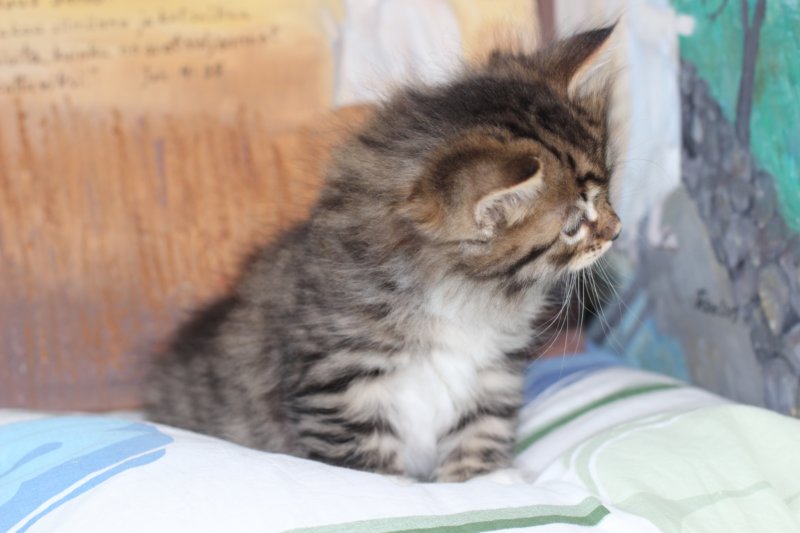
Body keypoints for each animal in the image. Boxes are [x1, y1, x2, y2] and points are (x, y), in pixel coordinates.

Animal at [145, 26, 622, 482]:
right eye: (573, 226)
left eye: (607, 191)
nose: (616, 231)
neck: (460, 293)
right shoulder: (338, 380)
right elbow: (367, 456)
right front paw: (399, 489)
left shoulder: (492, 374)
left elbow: (480, 430)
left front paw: (482, 482)